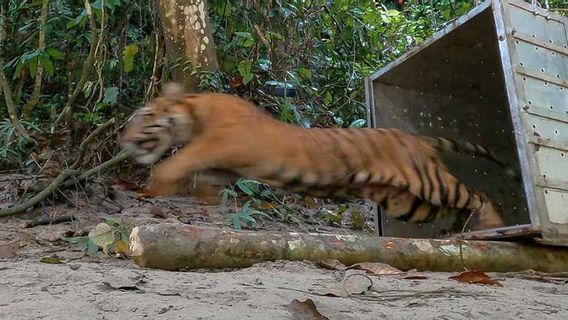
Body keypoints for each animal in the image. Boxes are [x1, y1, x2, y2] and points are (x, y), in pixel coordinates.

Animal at [118, 82, 516, 230]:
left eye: (144, 116)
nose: (123, 137)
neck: (193, 112)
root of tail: (418, 138)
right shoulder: (222, 167)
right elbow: (200, 178)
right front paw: (196, 195)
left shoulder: (220, 142)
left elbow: (179, 159)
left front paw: (157, 183)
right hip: (408, 202)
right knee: (458, 204)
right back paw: (460, 230)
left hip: (428, 182)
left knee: (476, 193)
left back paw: (493, 223)